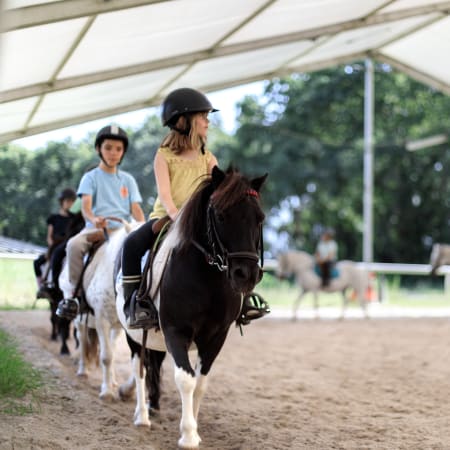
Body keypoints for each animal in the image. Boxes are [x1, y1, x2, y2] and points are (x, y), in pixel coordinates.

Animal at [115, 167, 268, 448]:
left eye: (259, 218)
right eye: (221, 215)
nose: (246, 275)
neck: (207, 278)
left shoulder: (216, 336)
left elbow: (200, 383)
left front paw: (196, 429)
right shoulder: (176, 331)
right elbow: (185, 380)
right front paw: (187, 434)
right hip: (134, 334)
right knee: (140, 367)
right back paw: (142, 416)